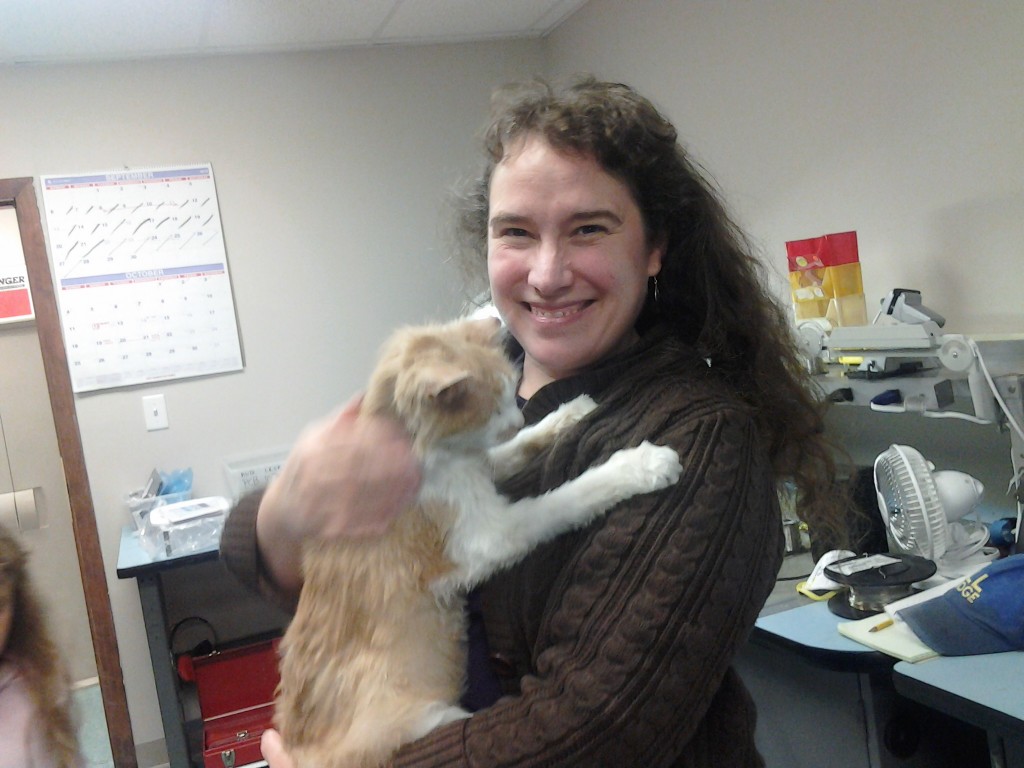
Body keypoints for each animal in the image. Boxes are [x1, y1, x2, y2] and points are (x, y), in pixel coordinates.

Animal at [276, 315, 684, 765]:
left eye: (511, 392)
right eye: (492, 407)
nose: (518, 418)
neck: (424, 449)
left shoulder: (479, 469)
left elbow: (517, 448)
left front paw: (567, 414)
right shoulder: (488, 535)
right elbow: (567, 499)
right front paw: (640, 465)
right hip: (434, 720)